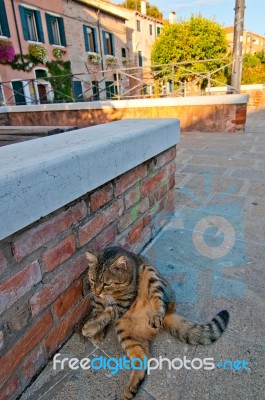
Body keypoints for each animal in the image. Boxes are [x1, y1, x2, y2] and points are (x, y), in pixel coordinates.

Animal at [81, 245, 228, 398]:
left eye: (106, 284)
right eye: (92, 280)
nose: (97, 291)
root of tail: (167, 316)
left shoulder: (123, 303)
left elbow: (107, 313)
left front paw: (90, 327)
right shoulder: (96, 300)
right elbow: (98, 311)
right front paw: (96, 332)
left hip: (151, 274)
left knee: (159, 301)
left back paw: (157, 315)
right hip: (126, 334)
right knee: (143, 359)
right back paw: (132, 387)